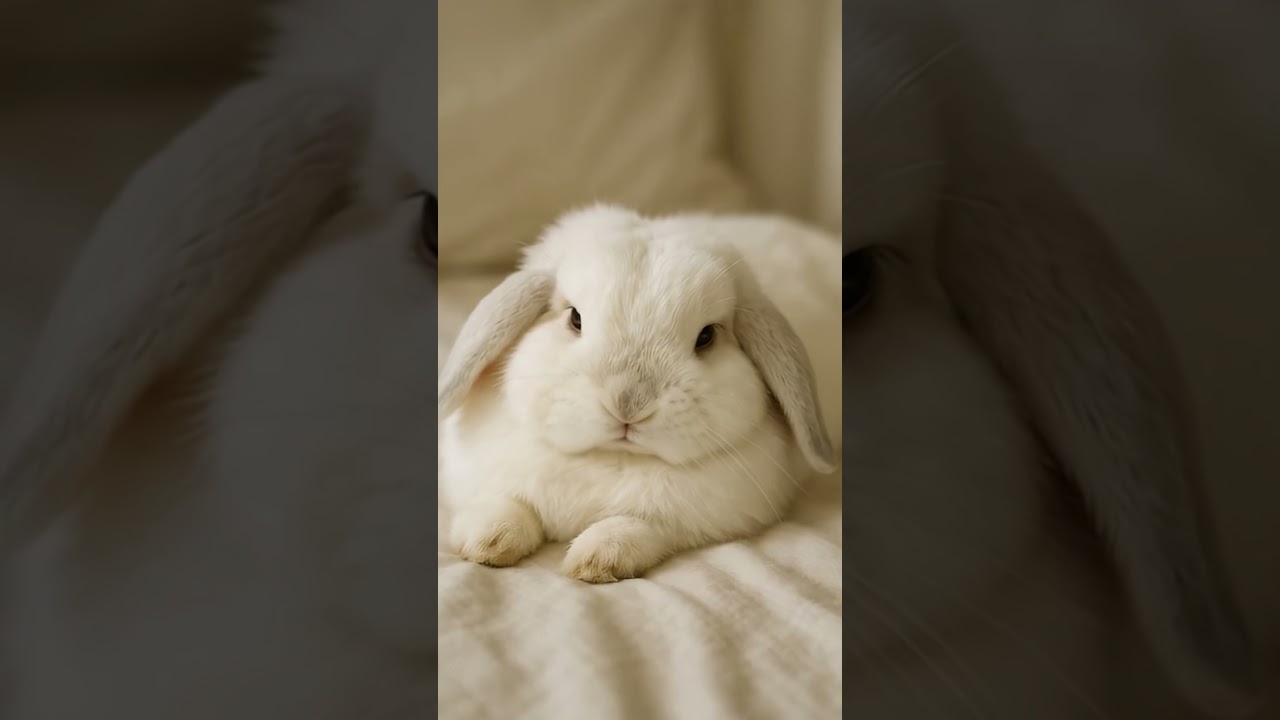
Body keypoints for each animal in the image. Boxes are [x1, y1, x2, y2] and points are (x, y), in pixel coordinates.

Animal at [437, 204, 839, 583]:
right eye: (575, 319)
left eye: (707, 336)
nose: (628, 404)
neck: (609, 458)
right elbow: (504, 505)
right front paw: (487, 542)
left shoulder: (687, 519)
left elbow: (636, 527)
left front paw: (597, 561)